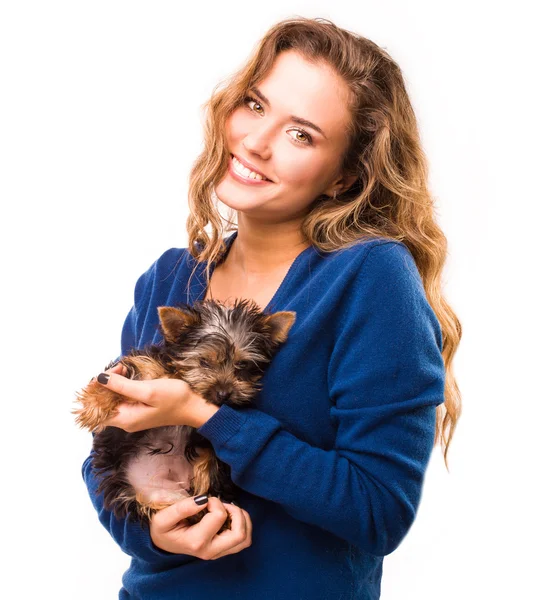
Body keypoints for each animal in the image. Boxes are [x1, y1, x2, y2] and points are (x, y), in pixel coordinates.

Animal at [76, 298, 298, 528]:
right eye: (204, 362)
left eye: (243, 364)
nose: (223, 393)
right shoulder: (144, 365)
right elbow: (126, 376)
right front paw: (95, 403)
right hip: (150, 493)